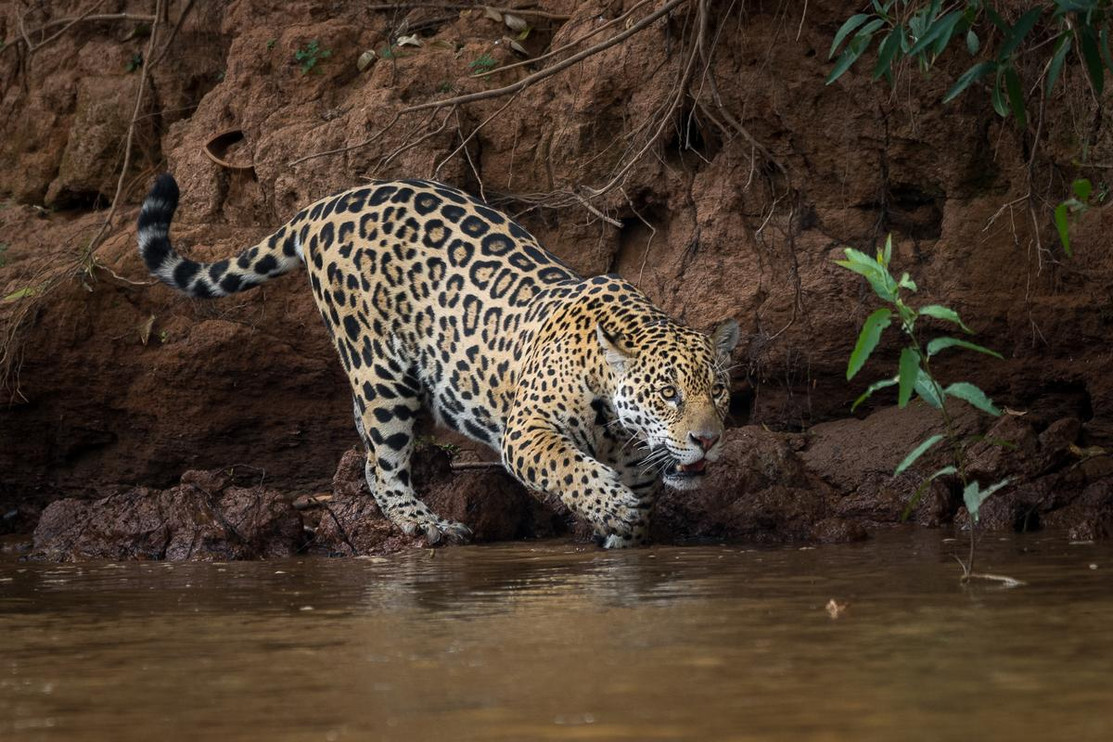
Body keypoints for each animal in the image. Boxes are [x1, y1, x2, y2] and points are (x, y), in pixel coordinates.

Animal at [137, 173, 739, 548]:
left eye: (718, 391)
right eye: (669, 394)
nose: (708, 440)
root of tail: (329, 203)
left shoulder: (640, 464)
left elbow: (638, 514)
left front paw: (623, 531)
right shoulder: (526, 430)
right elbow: (571, 468)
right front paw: (610, 504)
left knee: (365, 449)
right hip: (380, 373)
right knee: (379, 465)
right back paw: (427, 525)